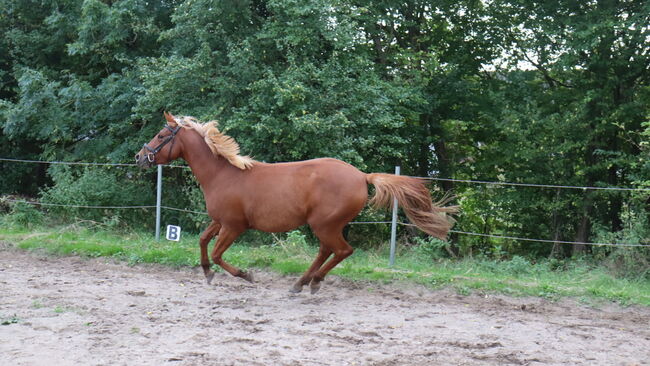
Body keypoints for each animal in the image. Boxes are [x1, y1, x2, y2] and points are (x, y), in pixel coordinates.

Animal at [134, 113, 454, 294]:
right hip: (328, 226)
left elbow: (216, 253)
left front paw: (246, 275)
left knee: (342, 250)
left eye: (161, 135)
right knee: (328, 251)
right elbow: (202, 241)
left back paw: (310, 283)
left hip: (324, 224)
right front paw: (207, 274)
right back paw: (302, 282)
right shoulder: (219, 221)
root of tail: (362, 176)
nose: (139, 157)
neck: (223, 174)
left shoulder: (234, 226)